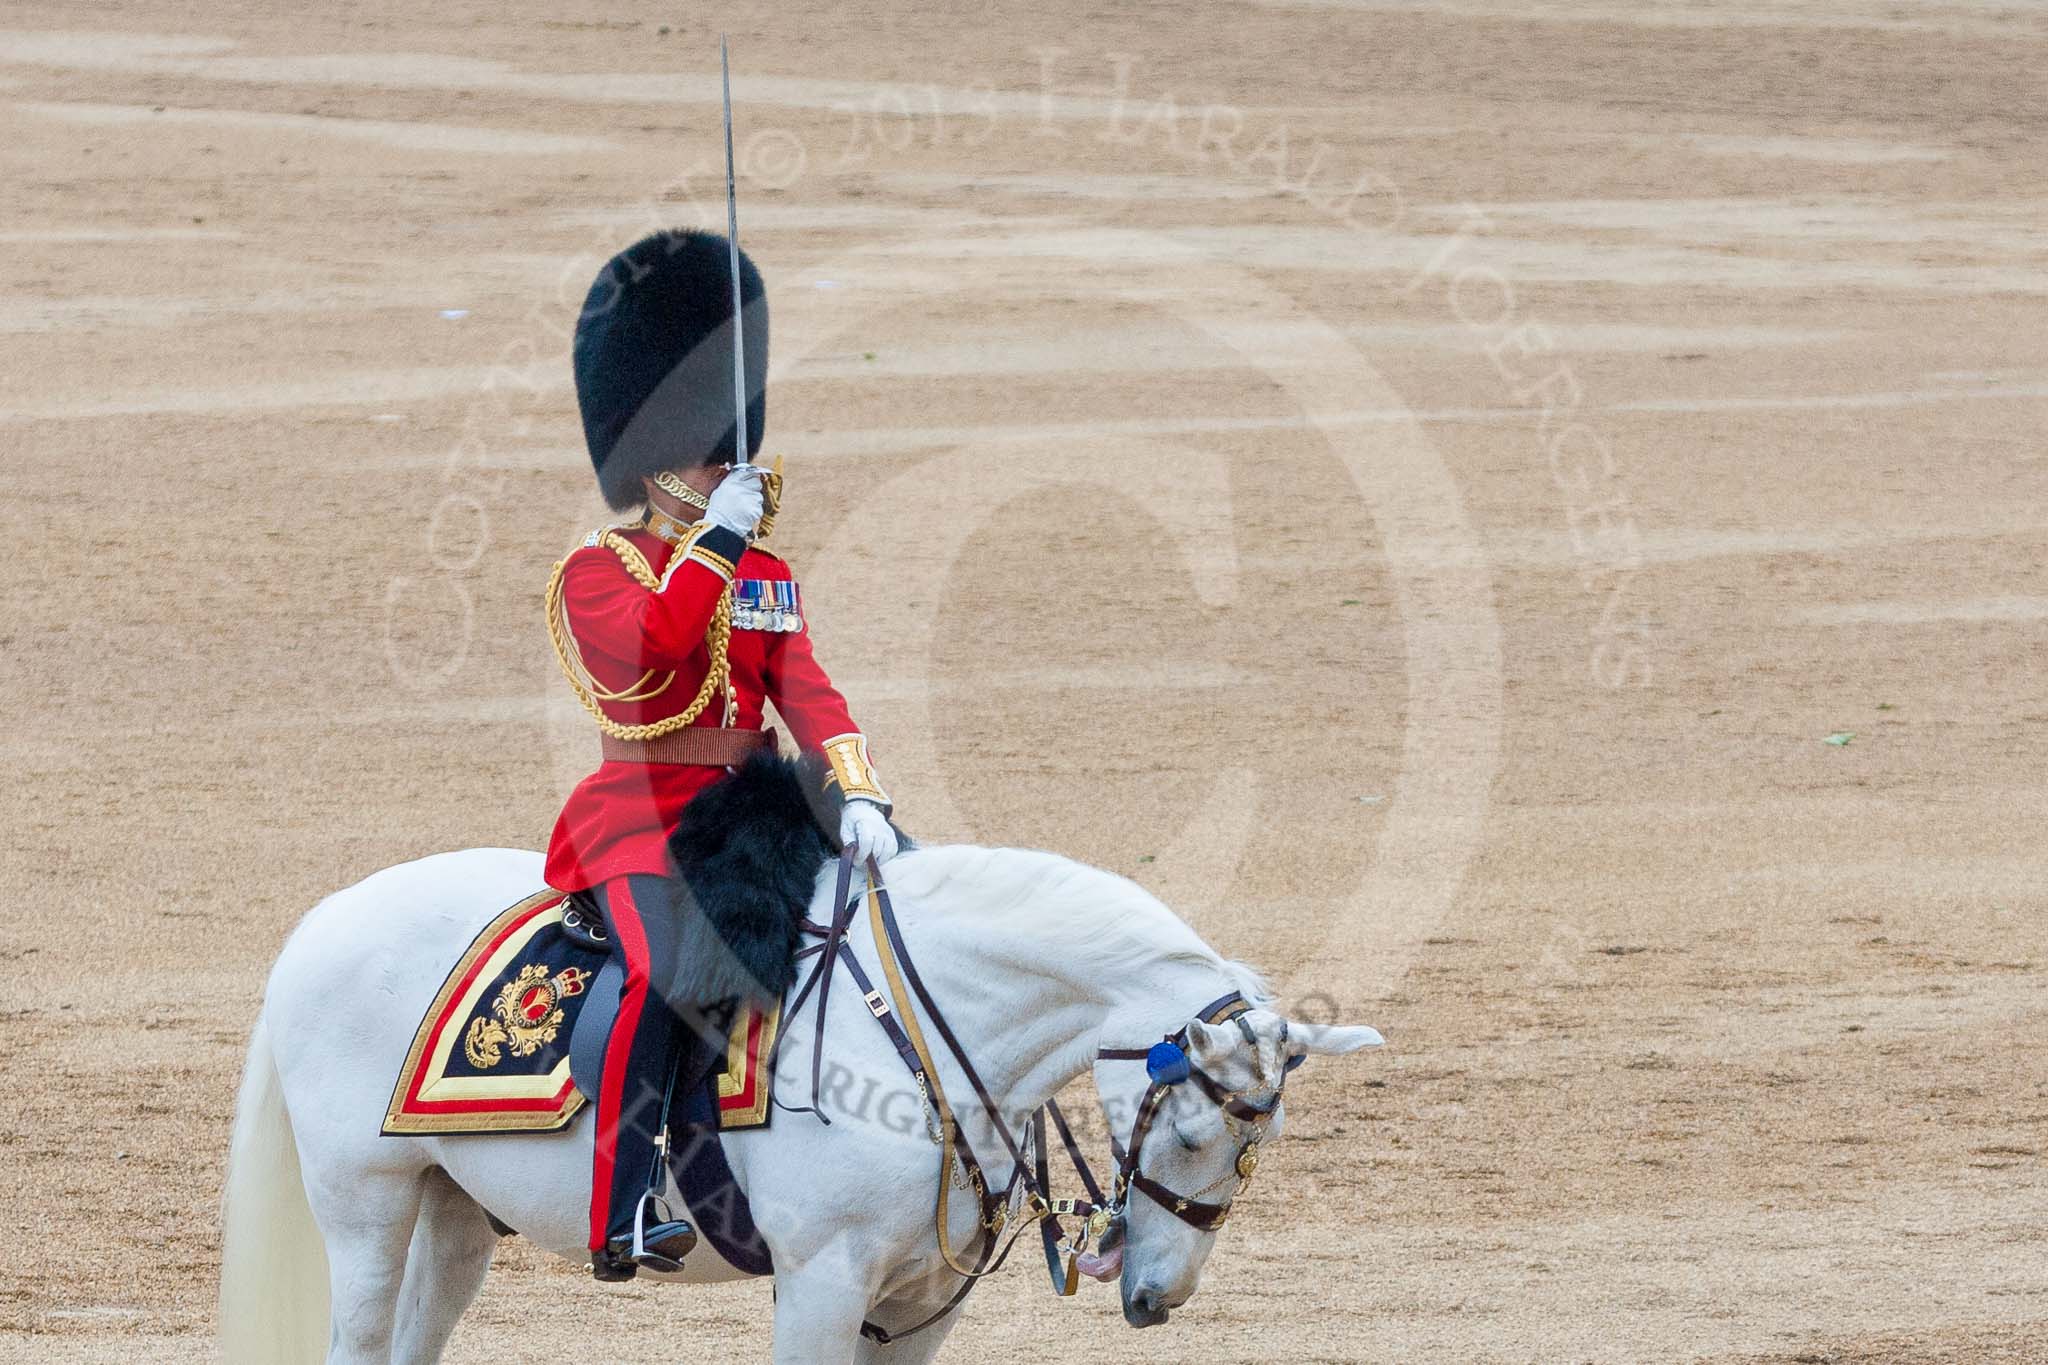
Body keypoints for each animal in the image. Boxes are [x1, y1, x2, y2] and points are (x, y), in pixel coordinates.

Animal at [220, 847, 1376, 1358]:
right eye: (1190, 1130)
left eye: (1259, 1150)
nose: (1154, 1299)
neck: (925, 1031)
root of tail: (324, 915)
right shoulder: (821, 1283)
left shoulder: (920, 1303)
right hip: (365, 1206)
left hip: (457, 1210)